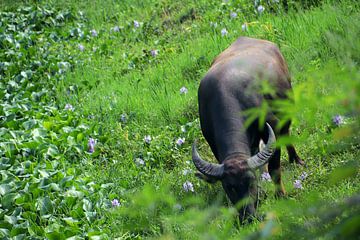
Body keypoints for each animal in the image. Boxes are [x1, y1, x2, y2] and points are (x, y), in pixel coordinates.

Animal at [193, 36, 302, 222]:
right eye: (229, 187)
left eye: (251, 182)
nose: (248, 216)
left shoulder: (272, 126)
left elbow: (274, 169)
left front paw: (280, 195)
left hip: (287, 104)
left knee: (286, 132)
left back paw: (296, 159)